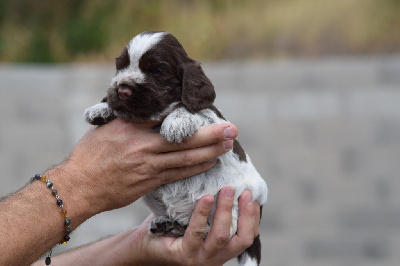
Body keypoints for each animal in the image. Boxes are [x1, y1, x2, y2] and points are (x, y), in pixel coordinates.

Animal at [83, 31, 268, 266]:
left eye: (156, 70)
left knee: (223, 231)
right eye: (120, 67)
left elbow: (190, 109)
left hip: (240, 199)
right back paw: (169, 225)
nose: (123, 90)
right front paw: (101, 108)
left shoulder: (216, 122)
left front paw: (176, 122)